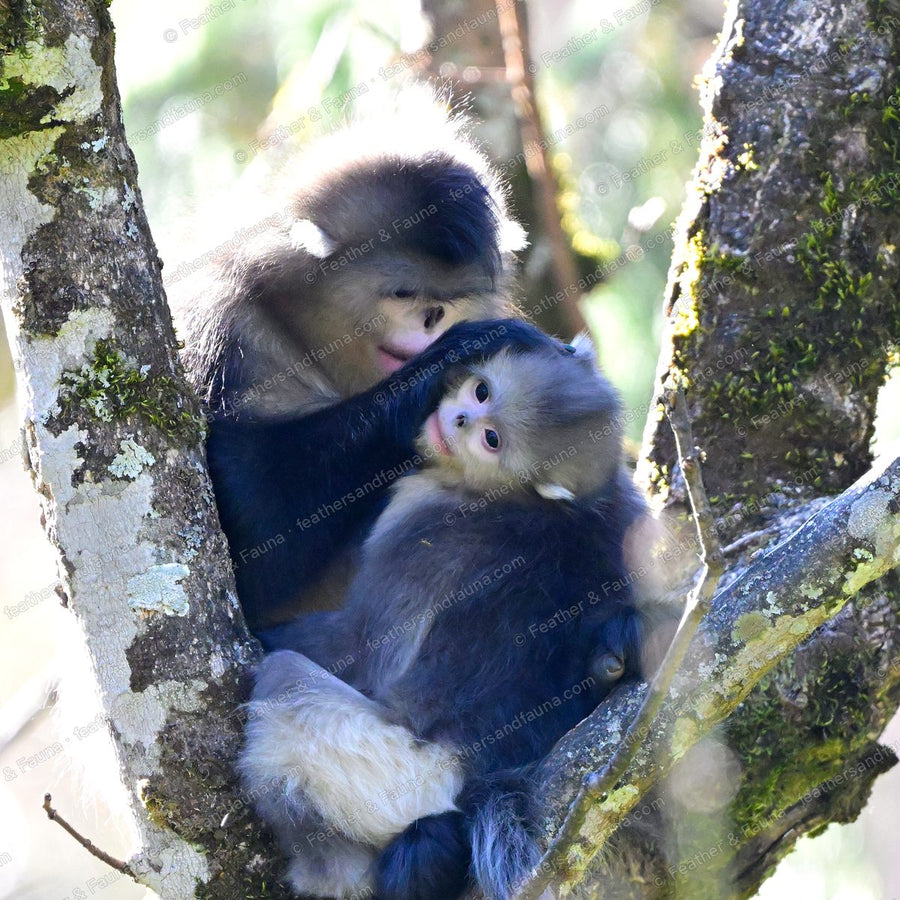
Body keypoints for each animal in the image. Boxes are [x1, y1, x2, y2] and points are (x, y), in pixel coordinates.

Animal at [168, 100, 548, 629]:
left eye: (450, 300)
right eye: (404, 293)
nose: (433, 318)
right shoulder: (214, 325)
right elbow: (251, 524)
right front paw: (450, 359)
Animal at [240, 331, 660, 900]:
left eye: (491, 440)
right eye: (481, 392)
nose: (458, 419)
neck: (524, 500)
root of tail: (473, 776)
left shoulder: (416, 514)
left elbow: (361, 645)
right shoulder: (622, 511)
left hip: (391, 770)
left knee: (285, 680)